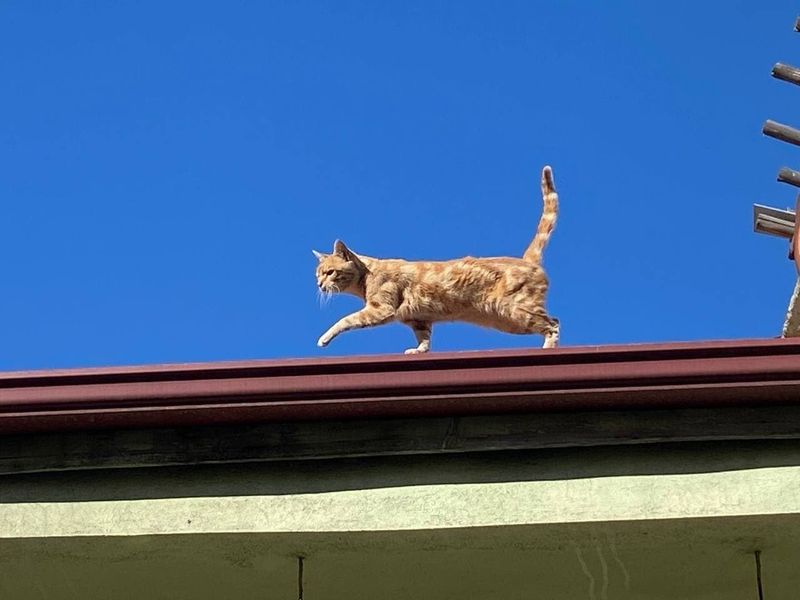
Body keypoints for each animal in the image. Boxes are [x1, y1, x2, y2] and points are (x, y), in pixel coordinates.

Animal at [316, 164, 560, 354]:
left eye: (330, 272)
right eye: (317, 275)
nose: (319, 285)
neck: (366, 277)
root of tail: (528, 260)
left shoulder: (381, 309)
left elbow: (345, 320)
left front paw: (324, 338)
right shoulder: (418, 319)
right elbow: (424, 338)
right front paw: (419, 350)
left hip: (515, 311)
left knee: (553, 324)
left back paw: (548, 348)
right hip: (507, 320)